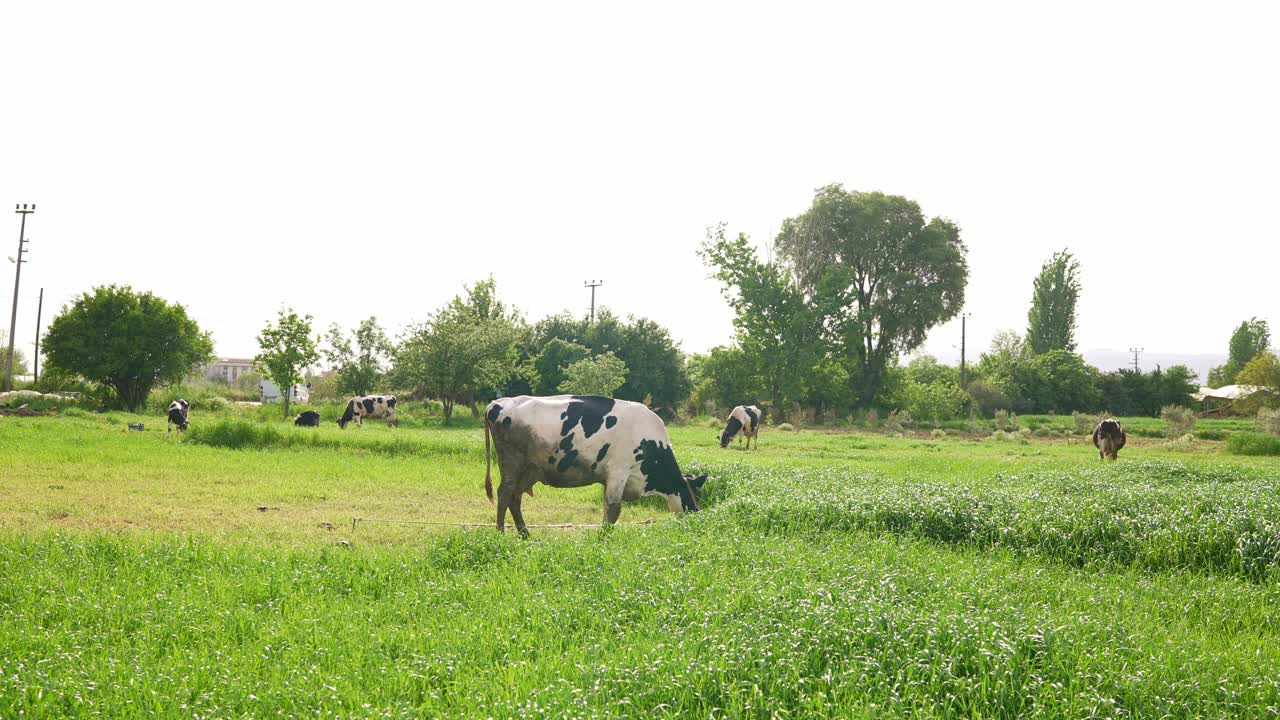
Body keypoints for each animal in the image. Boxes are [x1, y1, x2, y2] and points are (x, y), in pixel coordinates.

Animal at [481, 392, 706, 538]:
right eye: (696, 494)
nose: (696, 518)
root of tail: (497, 402)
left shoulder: (609, 478)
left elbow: (607, 508)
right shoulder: (619, 471)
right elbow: (614, 509)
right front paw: (604, 538)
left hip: (528, 469)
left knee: (515, 498)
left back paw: (525, 533)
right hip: (512, 462)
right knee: (504, 494)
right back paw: (500, 533)